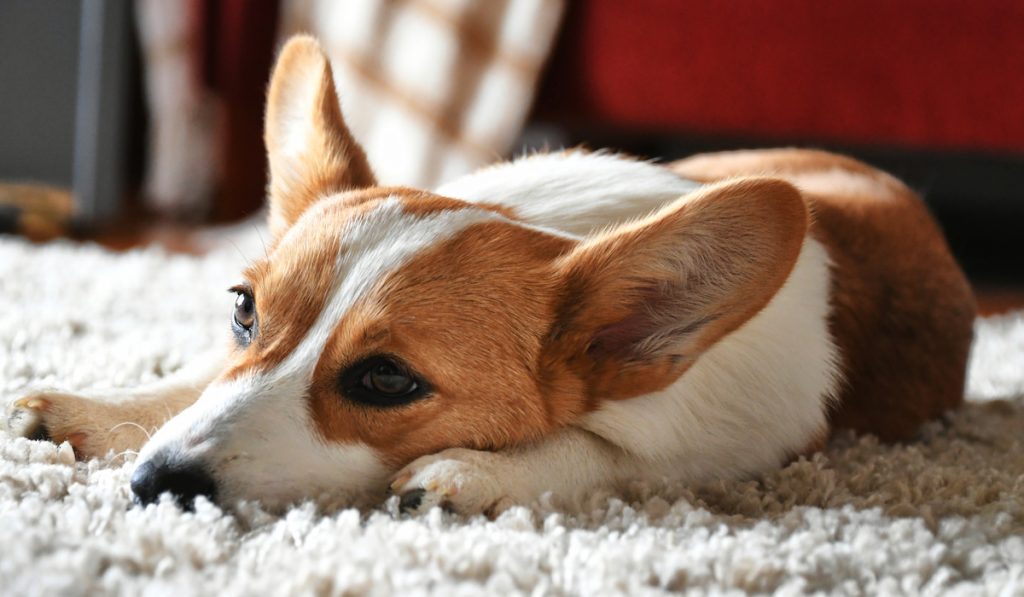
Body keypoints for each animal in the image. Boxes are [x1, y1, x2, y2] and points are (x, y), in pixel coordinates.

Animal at [8, 36, 970, 514]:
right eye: (244, 310)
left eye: (386, 379)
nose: (152, 485)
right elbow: (198, 380)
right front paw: (94, 410)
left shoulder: (730, 446)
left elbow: (601, 450)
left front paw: (471, 474)